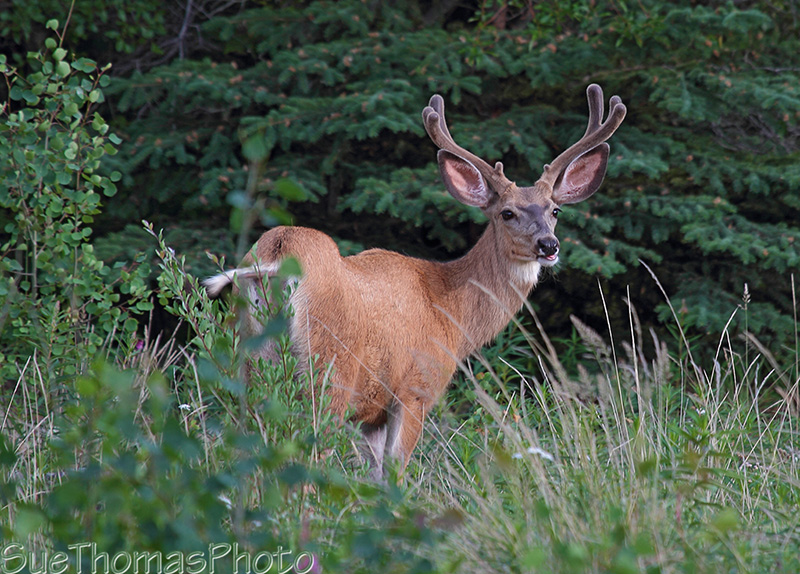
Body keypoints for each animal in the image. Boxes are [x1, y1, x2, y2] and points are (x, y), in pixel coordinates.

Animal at [204, 84, 626, 479]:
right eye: (507, 213)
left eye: (555, 210)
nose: (548, 245)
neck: (449, 309)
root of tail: (276, 254)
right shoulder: (415, 388)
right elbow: (395, 471)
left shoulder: (371, 412)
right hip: (327, 370)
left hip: (249, 364)